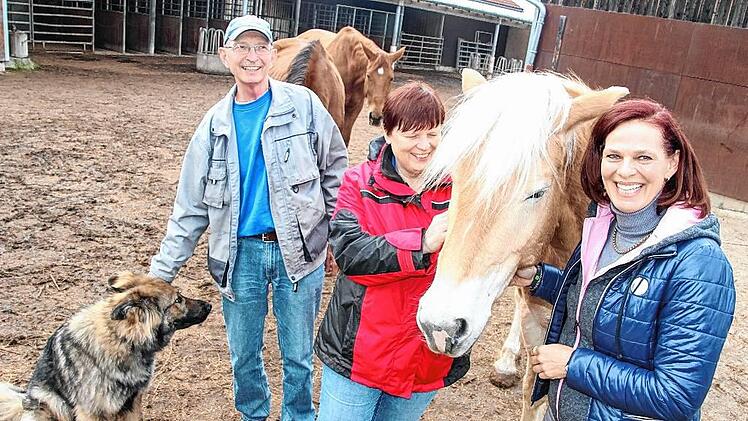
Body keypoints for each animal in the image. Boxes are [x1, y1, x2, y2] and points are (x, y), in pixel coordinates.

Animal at [0, 272, 212, 421]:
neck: (121, 339)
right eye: (178, 300)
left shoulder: (132, 403)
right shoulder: (91, 410)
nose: (209, 305)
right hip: (51, 403)